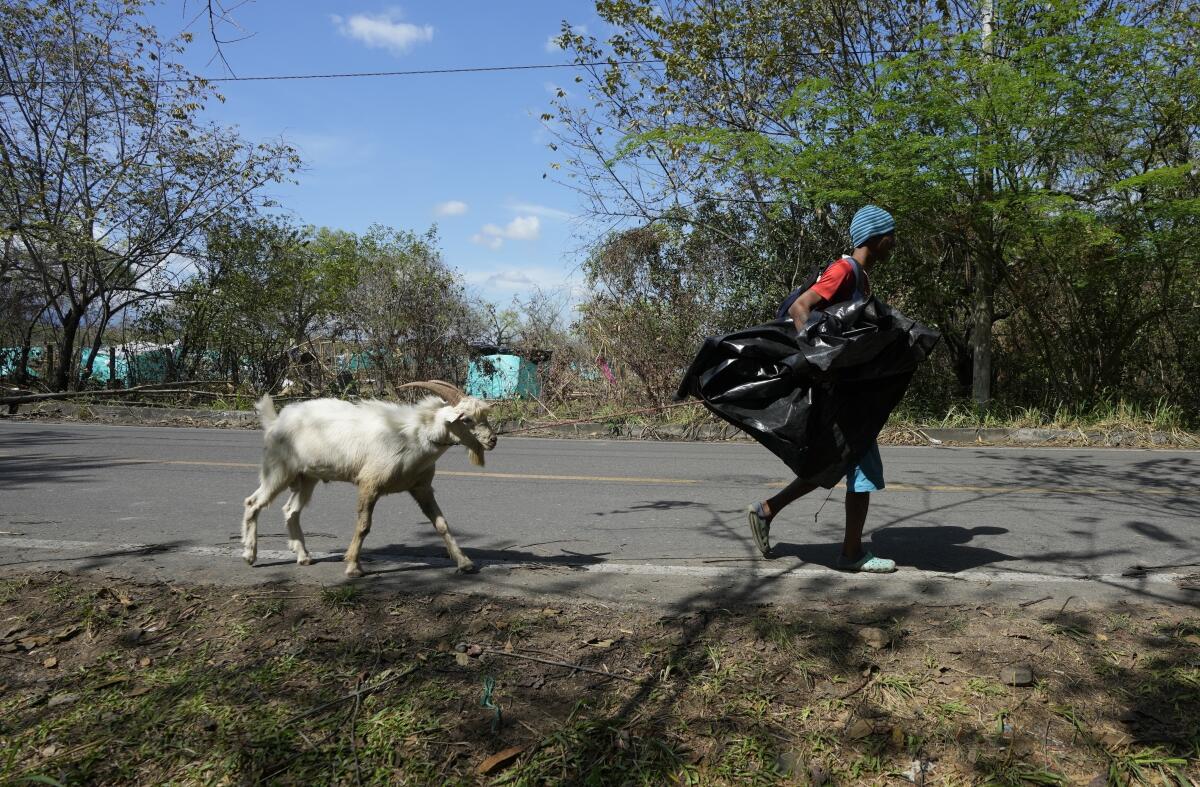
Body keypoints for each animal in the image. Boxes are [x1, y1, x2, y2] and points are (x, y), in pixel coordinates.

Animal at [238, 381, 496, 578]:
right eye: (466, 419)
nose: (493, 440)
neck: (415, 438)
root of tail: (275, 422)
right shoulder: (369, 484)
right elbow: (363, 526)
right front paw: (353, 567)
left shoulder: (421, 488)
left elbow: (441, 524)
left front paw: (465, 563)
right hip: (278, 470)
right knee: (253, 502)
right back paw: (249, 555)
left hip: (307, 477)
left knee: (290, 510)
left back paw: (304, 557)